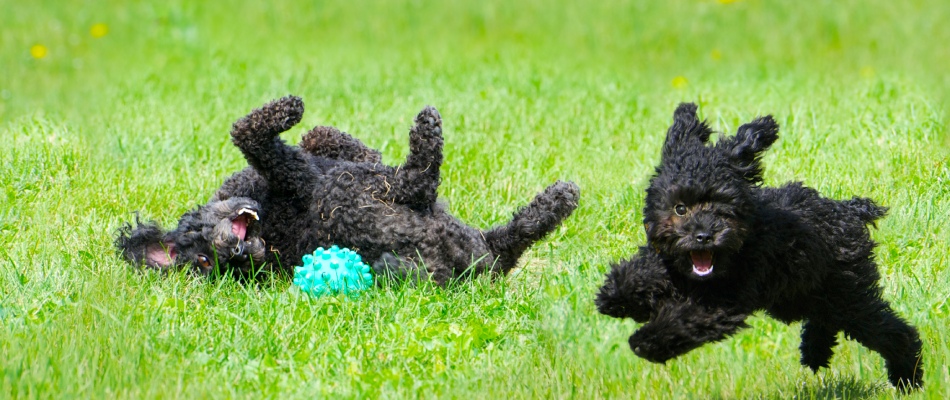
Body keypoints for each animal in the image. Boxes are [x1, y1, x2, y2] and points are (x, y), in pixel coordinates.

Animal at [119, 95, 580, 286]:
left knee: (514, 236)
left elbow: (325, 138)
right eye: (204, 262)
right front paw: (290, 108)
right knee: (420, 177)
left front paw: (325, 133)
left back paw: (555, 201)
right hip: (361, 197)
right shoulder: (303, 173)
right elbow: (247, 132)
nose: (233, 251)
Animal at [600, 102, 924, 390]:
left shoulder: (720, 300)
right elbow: (645, 269)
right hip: (804, 294)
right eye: (680, 208)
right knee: (826, 320)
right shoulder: (671, 261)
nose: (704, 236)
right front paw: (616, 295)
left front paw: (645, 341)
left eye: (724, 206)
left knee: (894, 332)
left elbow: (682, 319)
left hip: (848, 296)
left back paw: (907, 379)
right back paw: (815, 353)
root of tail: (851, 209)